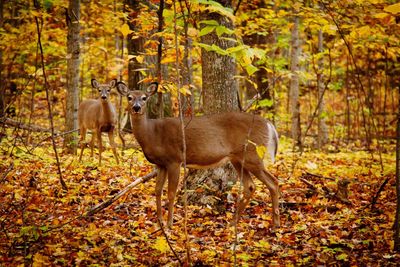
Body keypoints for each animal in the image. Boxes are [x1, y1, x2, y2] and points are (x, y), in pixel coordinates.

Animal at [116, 81, 282, 228]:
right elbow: (157, 191)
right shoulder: (161, 164)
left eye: (144, 97)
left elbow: (171, 193)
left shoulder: (174, 160)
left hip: (253, 154)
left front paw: (169, 224)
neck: (152, 134)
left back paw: (275, 224)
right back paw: (233, 223)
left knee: (273, 182)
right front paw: (160, 223)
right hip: (238, 158)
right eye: (129, 97)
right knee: (250, 186)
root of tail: (269, 124)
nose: (136, 107)